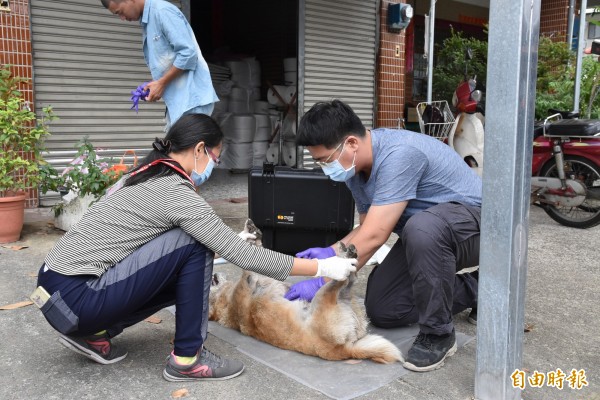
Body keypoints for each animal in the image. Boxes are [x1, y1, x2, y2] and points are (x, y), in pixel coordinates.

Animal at [207, 220, 404, 364]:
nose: (213, 273)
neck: (223, 301)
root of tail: (343, 350)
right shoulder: (246, 284)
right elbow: (247, 268)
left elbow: (257, 253)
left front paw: (252, 233)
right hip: (323, 298)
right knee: (343, 280)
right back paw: (345, 258)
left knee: (350, 279)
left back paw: (348, 254)